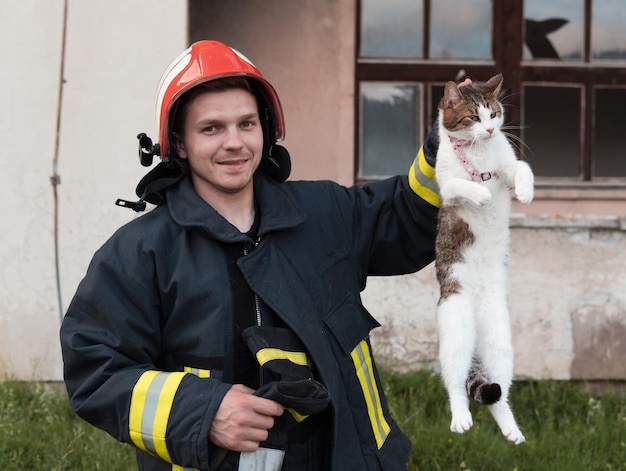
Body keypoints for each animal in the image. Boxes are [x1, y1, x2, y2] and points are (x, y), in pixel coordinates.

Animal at [434, 74, 532, 446]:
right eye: (474, 118)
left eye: (494, 114)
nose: (490, 129)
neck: (479, 154)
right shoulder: (446, 184)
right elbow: (462, 184)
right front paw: (481, 194)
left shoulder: (510, 165)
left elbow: (522, 170)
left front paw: (525, 192)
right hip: (455, 330)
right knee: (455, 384)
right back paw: (460, 418)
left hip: (500, 343)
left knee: (498, 393)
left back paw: (510, 429)